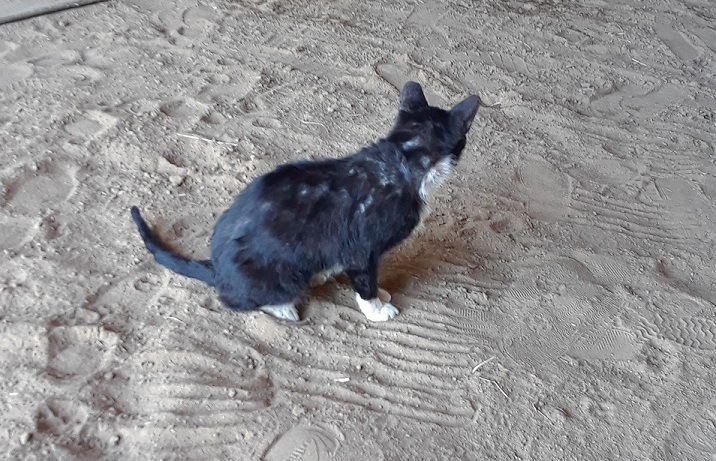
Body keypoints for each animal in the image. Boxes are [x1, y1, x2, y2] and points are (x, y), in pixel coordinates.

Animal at [133, 82, 482, 320]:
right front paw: (377, 308)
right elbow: (365, 281)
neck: (402, 158)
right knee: (235, 300)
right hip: (281, 275)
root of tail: (217, 269)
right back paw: (283, 308)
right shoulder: (361, 249)